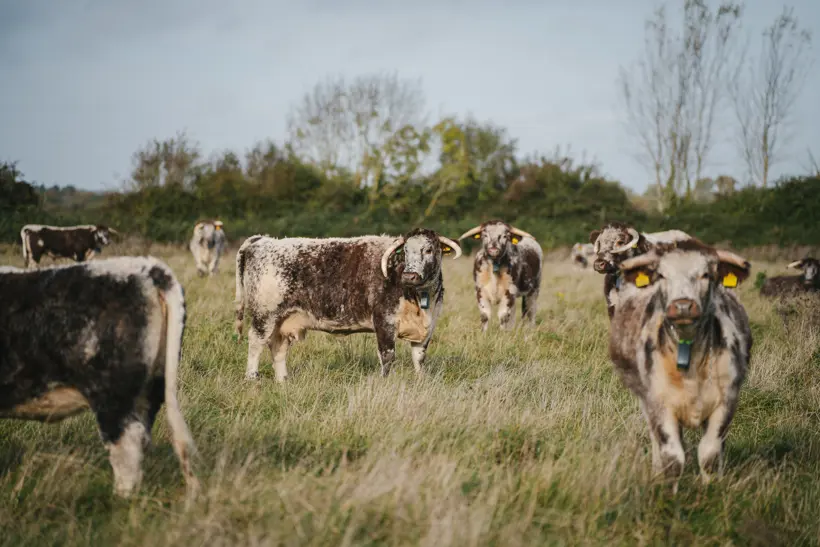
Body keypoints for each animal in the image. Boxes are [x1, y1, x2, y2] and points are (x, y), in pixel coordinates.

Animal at [234, 229, 462, 382]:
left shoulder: (428, 328)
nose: (410, 275)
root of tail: (263, 240)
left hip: (282, 320)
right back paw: (252, 379)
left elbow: (419, 358)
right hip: (264, 315)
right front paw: (385, 382)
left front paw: (421, 381)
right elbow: (388, 356)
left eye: (429, 249)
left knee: (278, 348)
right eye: (405, 251)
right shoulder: (384, 321)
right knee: (255, 344)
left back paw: (283, 381)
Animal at [608, 239, 752, 490]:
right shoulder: (659, 403)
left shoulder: (727, 400)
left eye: (706, 274)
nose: (683, 306)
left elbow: (710, 453)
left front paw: (711, 490)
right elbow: (672, 458)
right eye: (662, 275)